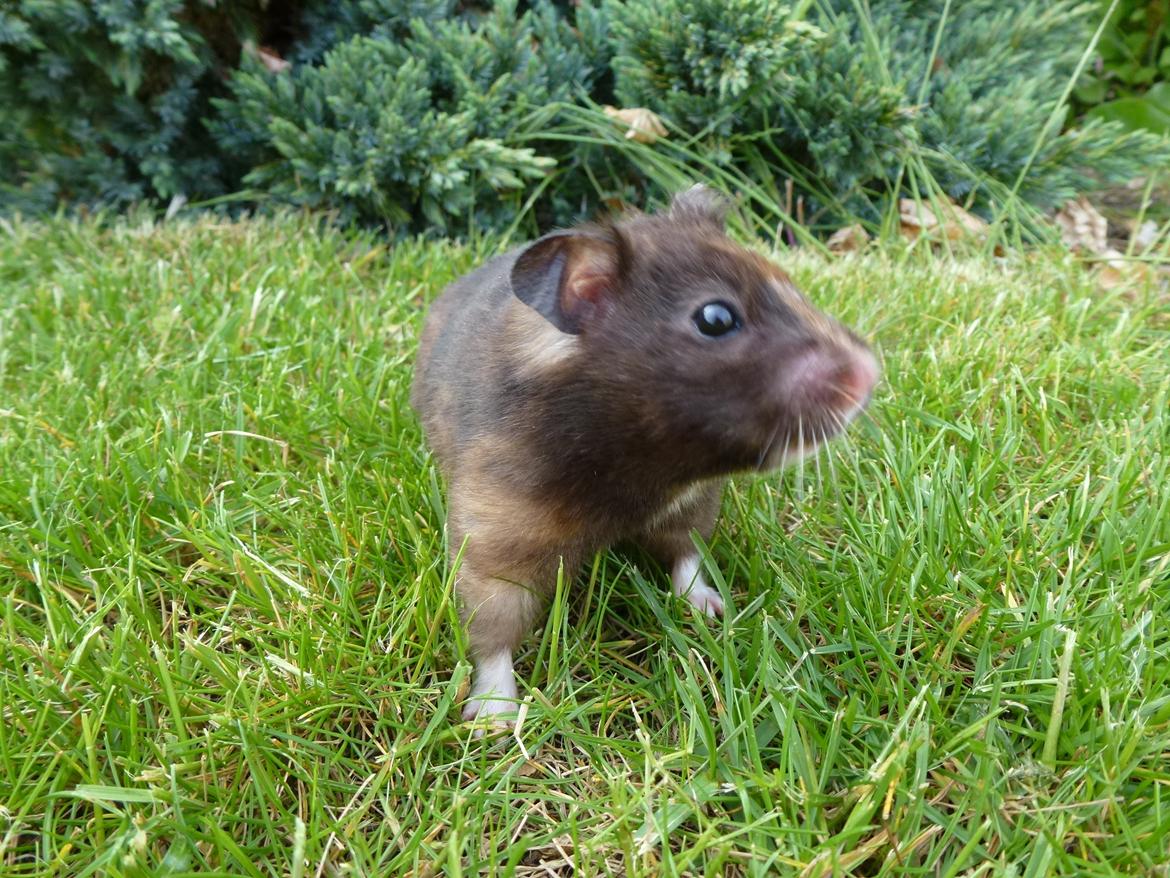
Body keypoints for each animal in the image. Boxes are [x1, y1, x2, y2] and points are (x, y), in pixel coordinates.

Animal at [411, 185, 879, 723]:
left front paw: (712, 609)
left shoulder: (691, 502)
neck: (642, 462)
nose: (870, 374)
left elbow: (688, 554)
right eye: (715, 319)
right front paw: (494, 720)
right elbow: (493, 633)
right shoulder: (494, 539)